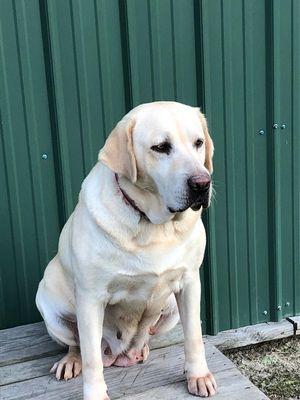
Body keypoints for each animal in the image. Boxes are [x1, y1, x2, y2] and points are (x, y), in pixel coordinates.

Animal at [36, 101, 217, 398]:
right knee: (78, 345)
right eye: (161, 147)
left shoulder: (190, 282)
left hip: (171, 310)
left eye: (198, 143)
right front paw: (95, 393)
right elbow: (91, 359)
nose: (202, 183)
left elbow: (194, 336)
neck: (154, 224)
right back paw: (71, 361)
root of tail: (120, 355)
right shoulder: (91, 297)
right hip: (49, 308)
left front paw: (198, 375)